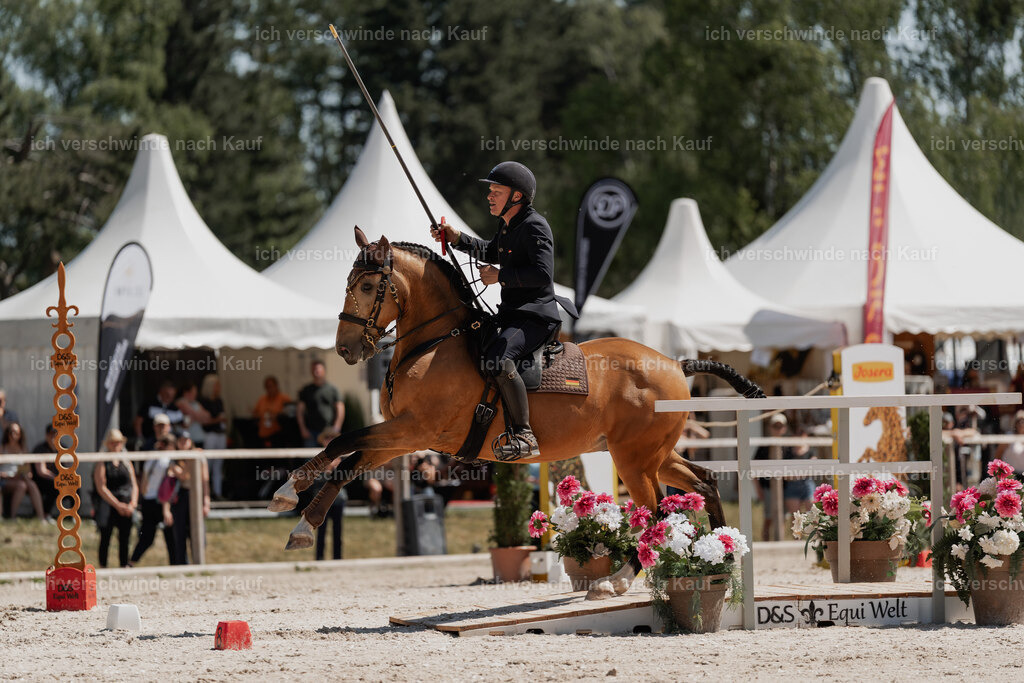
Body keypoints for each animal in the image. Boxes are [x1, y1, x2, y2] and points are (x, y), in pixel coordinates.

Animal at [268, 226, 764, 598]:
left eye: (369, 286)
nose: (345, 349)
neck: (435, 342)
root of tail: (676, 364)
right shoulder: (400, 438)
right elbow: (349, 460)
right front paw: (299, 511)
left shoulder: (413, 429)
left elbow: (343, 442)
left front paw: (293, 500)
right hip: (653, 454)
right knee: (704, 482)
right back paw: (722, 562)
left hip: (634, 459)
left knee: (656, 511)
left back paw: (617, 581)